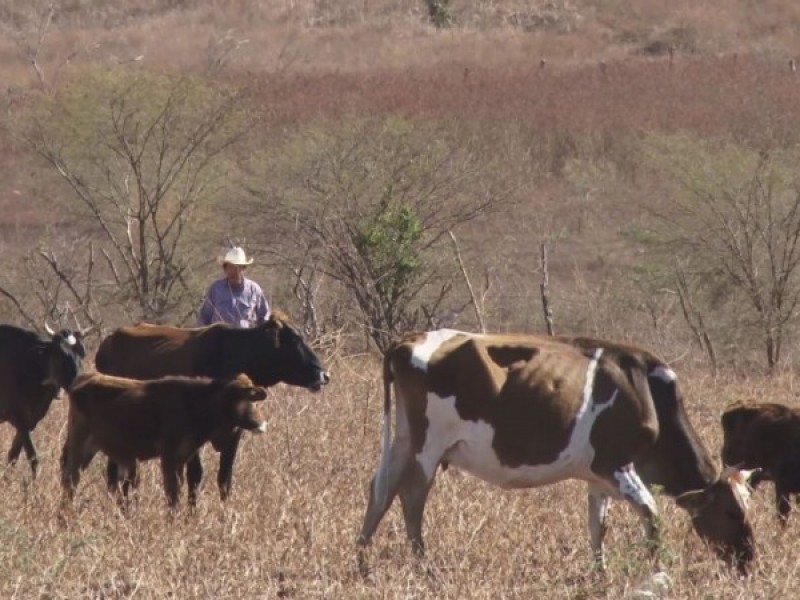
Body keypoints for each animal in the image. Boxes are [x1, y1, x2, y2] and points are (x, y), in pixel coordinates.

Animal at [0, 326, 87, 476]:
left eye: (80, 353)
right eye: (60, 353)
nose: (78, 380)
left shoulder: (31, 421)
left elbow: (13, 455)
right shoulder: (18, 417)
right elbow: (32, 455)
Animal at [62, 372, 268, 508]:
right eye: (245, 398)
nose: (261, 423)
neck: (195, 404)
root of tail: (85, 378)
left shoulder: (181, 458)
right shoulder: (168, 456)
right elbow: (172, 492)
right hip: (80, 446)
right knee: (70, 480)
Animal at [94, 312, 332, 504]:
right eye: (293, 339)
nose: (324, 375)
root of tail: (107, 344)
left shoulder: (235, 433)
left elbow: (225, 478)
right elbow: (195, 476)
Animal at [360, 330, 760, 576]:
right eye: (730, 511)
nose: (749, 560)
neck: (648, 393)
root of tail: (409, 340)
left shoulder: (598, 477)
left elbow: (598, 525)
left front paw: (600, 574)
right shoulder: (614, 462)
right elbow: (651, 513)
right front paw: (656, 567)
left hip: (403, 439)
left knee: (380, 490)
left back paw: (363, 563)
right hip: (428, 442)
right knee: (411, 496)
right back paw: (423, 566)